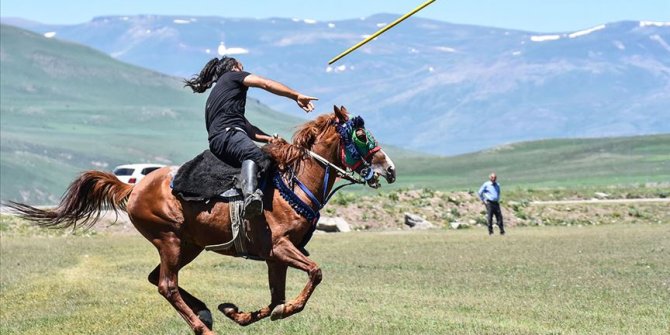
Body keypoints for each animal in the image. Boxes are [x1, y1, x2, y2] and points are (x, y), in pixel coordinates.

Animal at [7, 106, 396, 334]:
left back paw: (208, 312)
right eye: (362, 135)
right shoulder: (281, 248)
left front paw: (237, 312)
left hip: (189, 245)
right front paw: (286, 311)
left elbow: (274, 298)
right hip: (169, 240)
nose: (389, 168)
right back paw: (202, 326)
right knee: (166, 284)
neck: (294, 181)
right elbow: (314, 274)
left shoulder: (274, 257)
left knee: (157, 279)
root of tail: (133, 186)